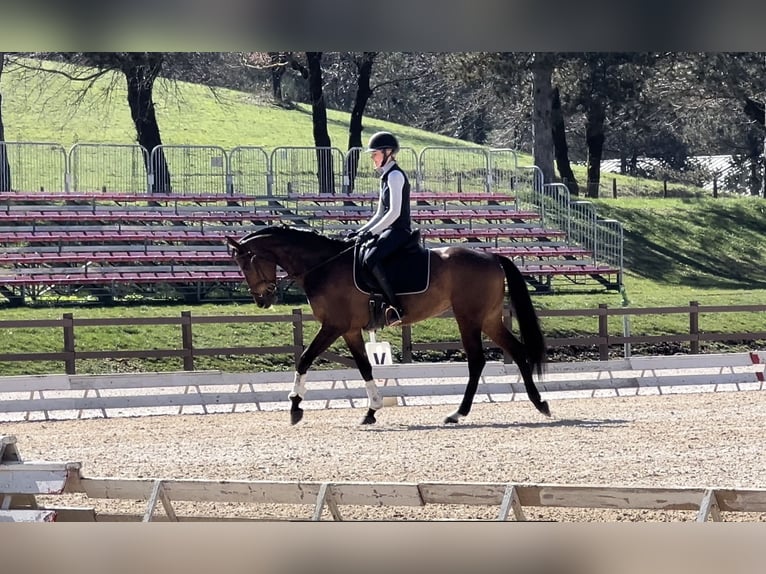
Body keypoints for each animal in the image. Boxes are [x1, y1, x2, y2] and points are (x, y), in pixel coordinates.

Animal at [227, 225, 550, 425]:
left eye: (245, 264)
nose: (262, 300)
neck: (324, 266)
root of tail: (491, 256)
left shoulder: (333, 326)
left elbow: (305, 358)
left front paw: (295, 405)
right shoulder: (349, 330)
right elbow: (365, 367)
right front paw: (372, 410)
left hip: (468, 318)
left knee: (477, 361)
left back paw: (459, 413)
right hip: (488, 318)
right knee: (517, 351)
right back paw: (539, 403)